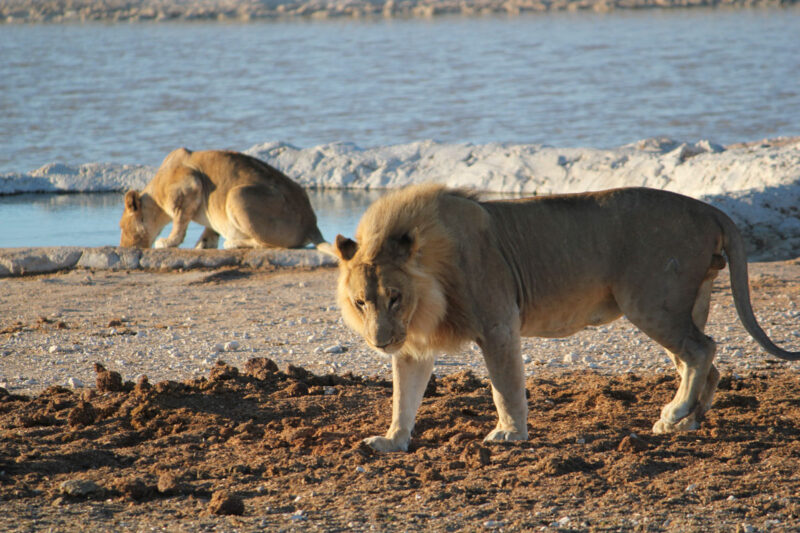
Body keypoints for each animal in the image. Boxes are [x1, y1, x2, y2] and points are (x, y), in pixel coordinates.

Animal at [119, 148, 324, 249]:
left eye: (121, 227)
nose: (123, 246)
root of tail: (311, 224)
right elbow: (209, 228)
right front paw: (203, 244)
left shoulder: (189, 185)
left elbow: (179, 224)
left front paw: (168, 242)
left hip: (237, 195)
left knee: (265, 243)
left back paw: (233, 242)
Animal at [332, 183, 800, 448]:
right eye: (361, 302)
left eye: (394, 297)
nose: (379, 341)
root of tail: (708, 209)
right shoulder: (413, 346)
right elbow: (403, 399)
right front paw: (391, 441)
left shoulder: (498, 324)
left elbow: (505, 387)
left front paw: (509, 435)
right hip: (681, 305)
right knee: (703, 360)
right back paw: (685, 423)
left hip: (651, 302)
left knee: (703, 350)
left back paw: (674, 414)